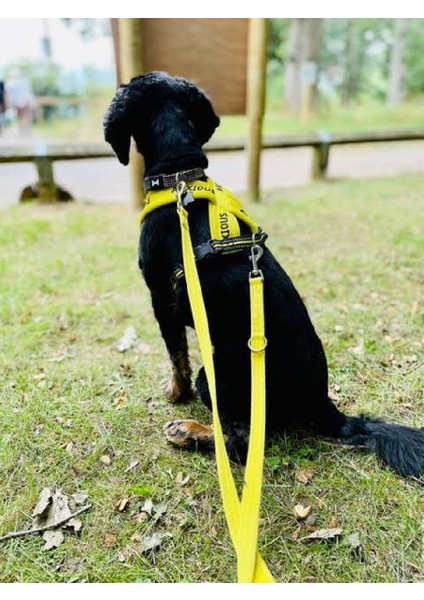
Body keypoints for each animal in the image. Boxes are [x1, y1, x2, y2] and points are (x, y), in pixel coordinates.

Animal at [103, 70, 424, 476]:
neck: (179, 176)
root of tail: (324, 406)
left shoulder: (162, 299)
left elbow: (176, 355)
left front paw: (175, 394)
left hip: (217, 371)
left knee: (241, 441)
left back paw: (190, 432)